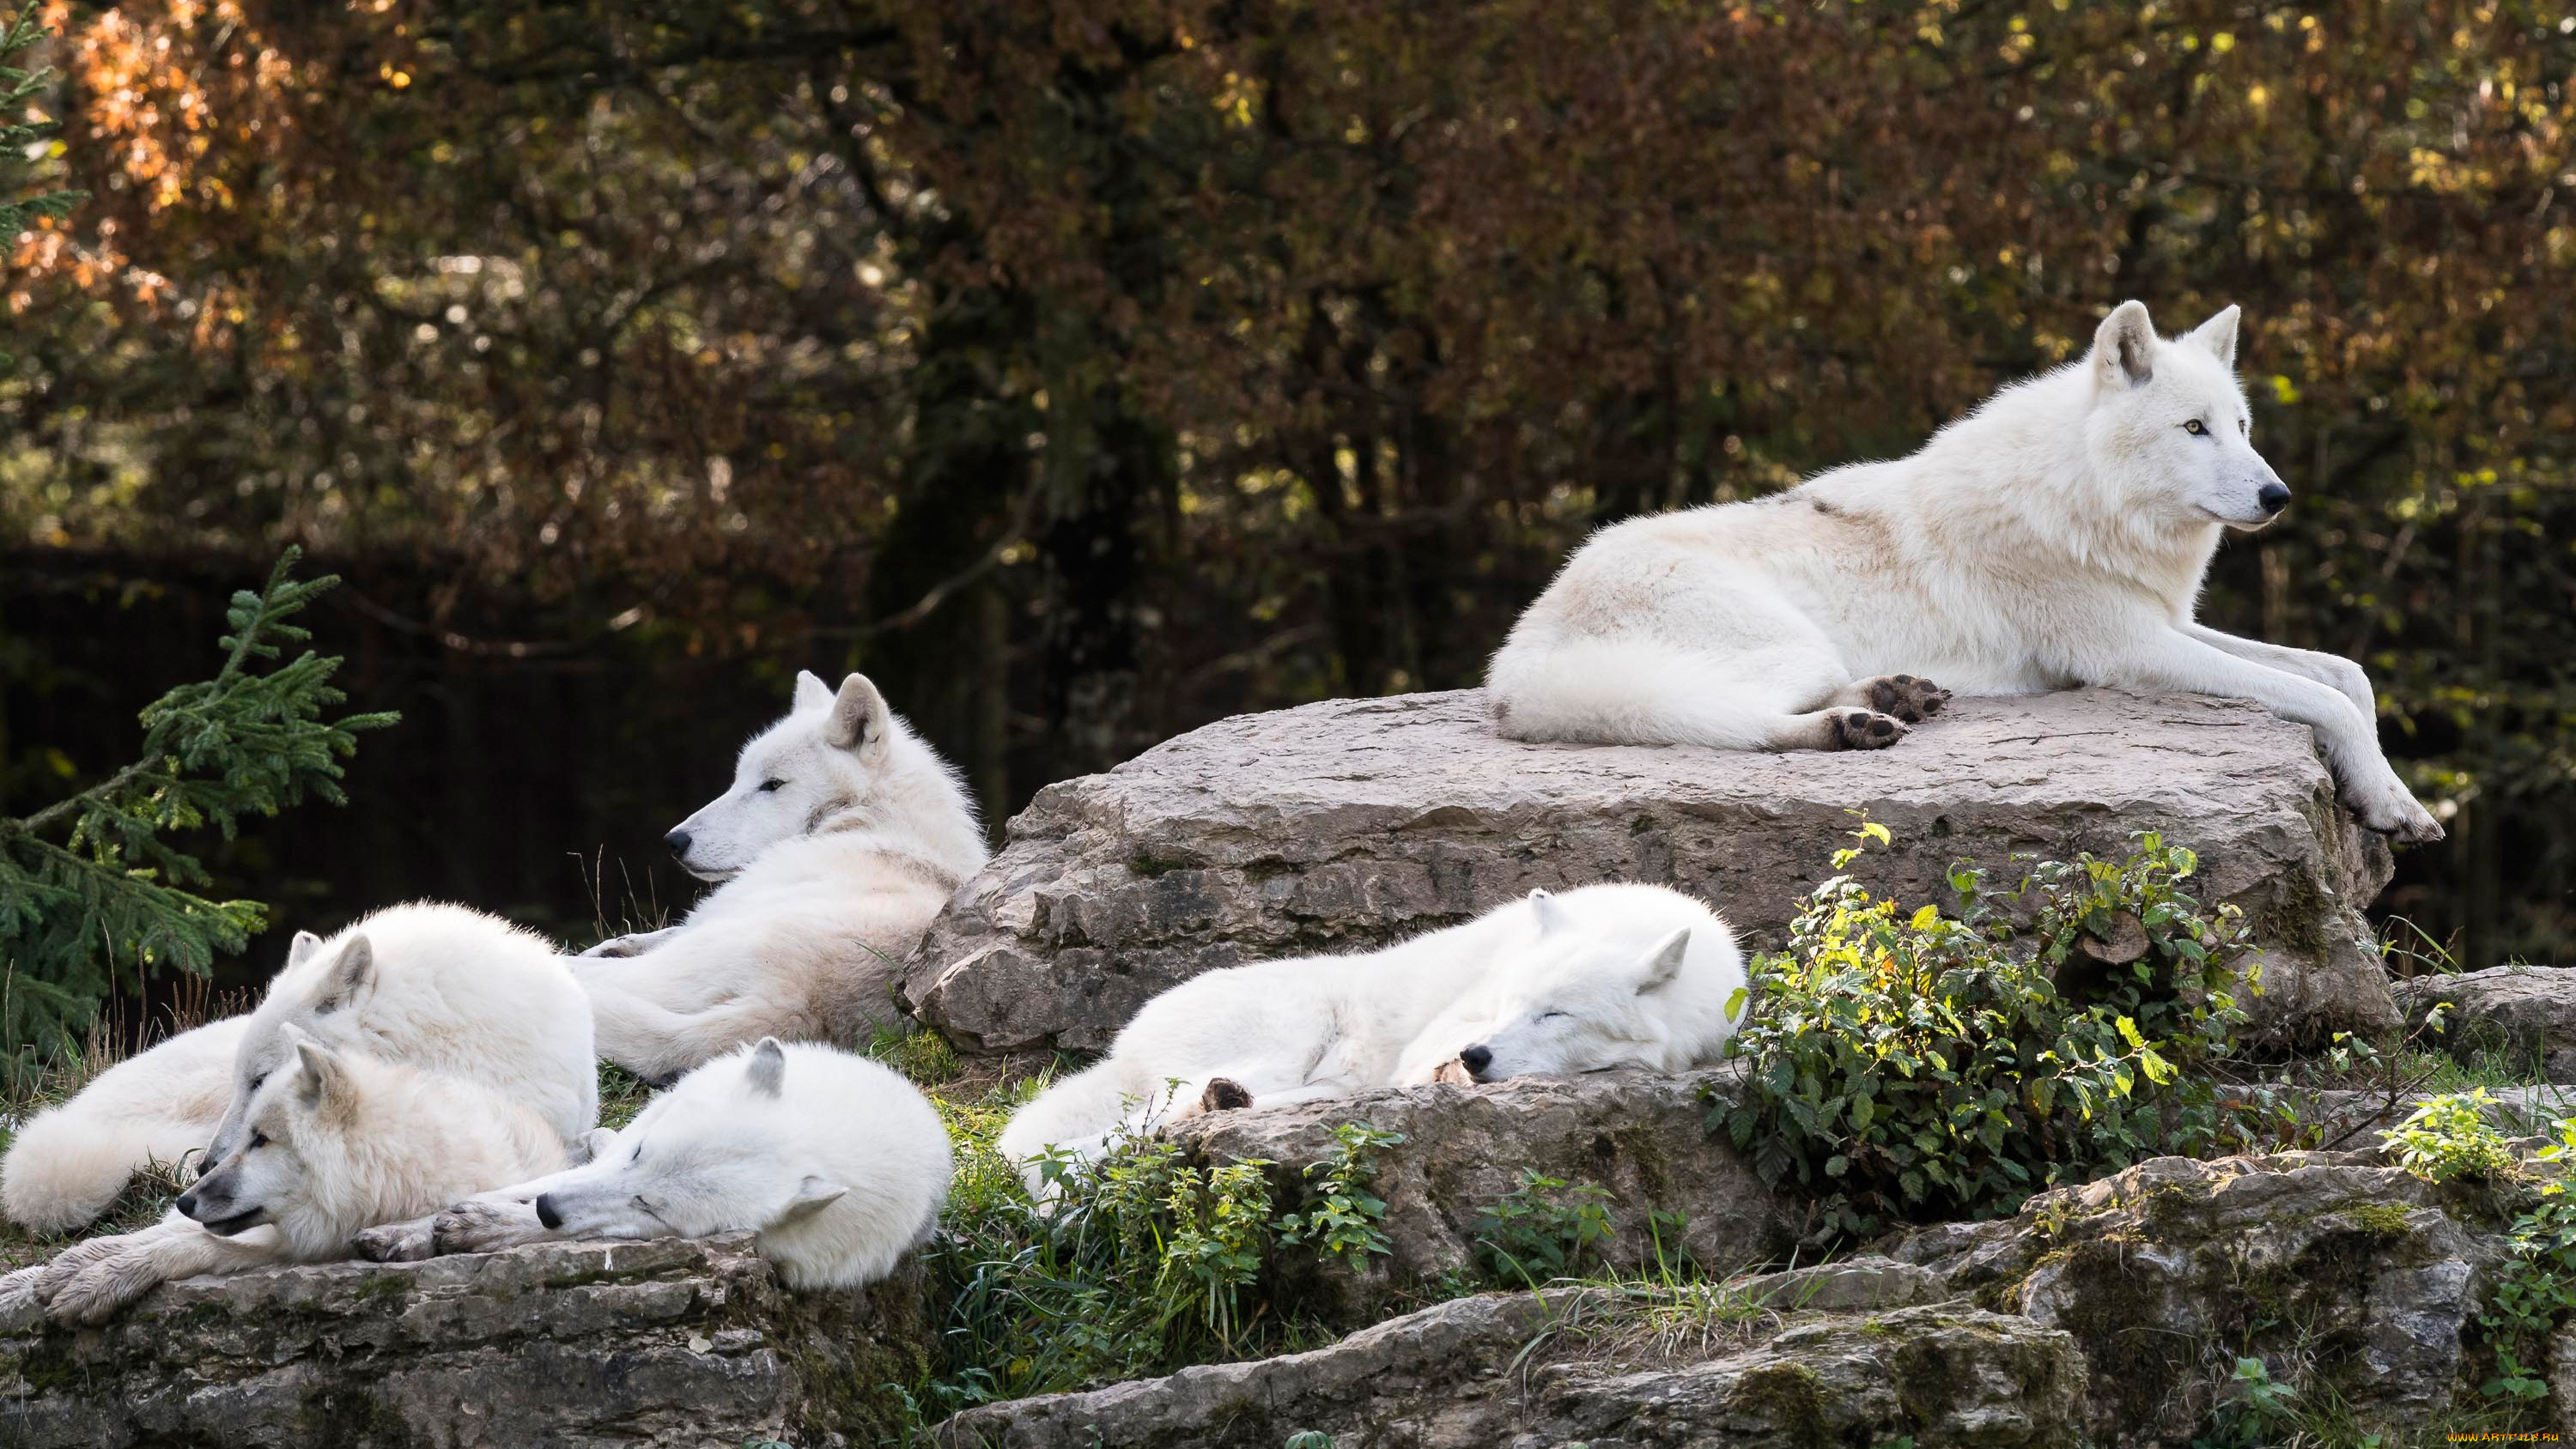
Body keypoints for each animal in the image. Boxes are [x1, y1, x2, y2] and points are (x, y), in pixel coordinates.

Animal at [0, 1029, 562, 1328]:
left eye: (262, 1140)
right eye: (247, 1136)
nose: (186, 1200)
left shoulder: (305, 1243)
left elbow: (189, 1246)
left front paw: (96, 1282)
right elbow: (149, 1238)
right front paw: (51, 1275)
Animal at [363, 1040, 958, 1287]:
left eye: (650, 1205)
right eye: (640, 1156)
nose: (550, 1208)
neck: (817, 1138)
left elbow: (548, 1227)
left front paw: (479, 1229)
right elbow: (515, 1188)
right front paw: (405, 1232)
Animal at [1484, 295, 2442, 844]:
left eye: (2240, 426)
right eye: (2193, 429)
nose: (2279, 495)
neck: (2081, 497)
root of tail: (1513, 666)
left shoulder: (2163, 622)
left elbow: (2344, 674)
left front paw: (2387, 788)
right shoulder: (2131, 650)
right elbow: (2321, 696)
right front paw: (2396, 804)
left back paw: (1891, 697)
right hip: (1779, 645)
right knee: (1726, 723)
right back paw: (1853, 727)